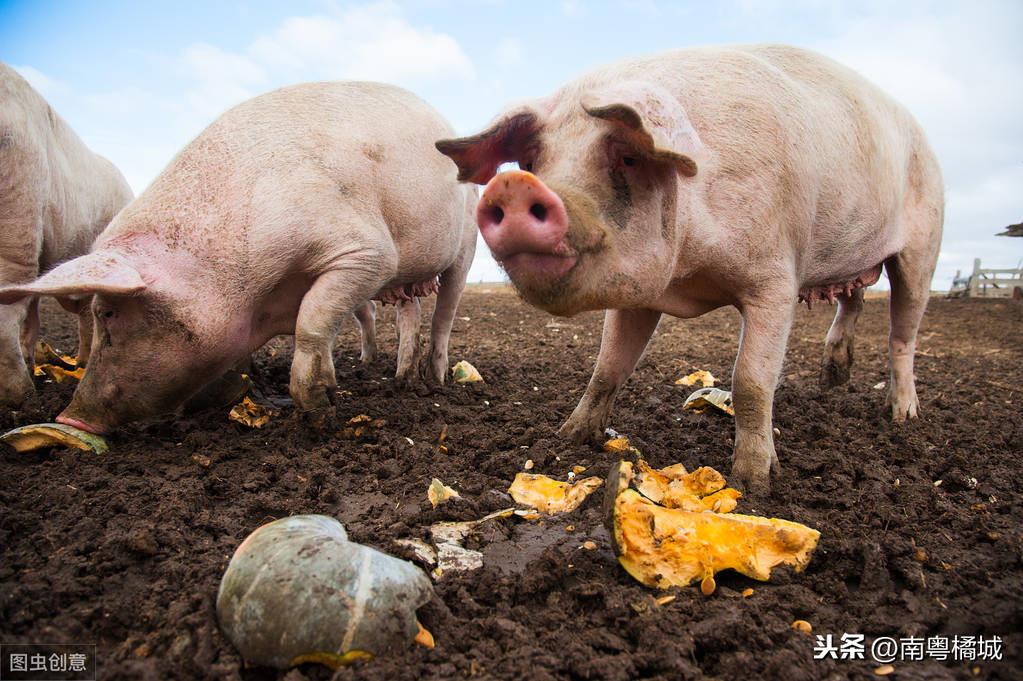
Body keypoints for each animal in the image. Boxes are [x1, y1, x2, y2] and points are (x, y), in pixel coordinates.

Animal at [435, 44, 937, 490]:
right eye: (531, 160)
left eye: (629, 156)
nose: (514, 186)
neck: (690, 275)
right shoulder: (639, 294)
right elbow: (607, 367)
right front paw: (568, 437)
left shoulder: (776, 278)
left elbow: (751, 380)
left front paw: (754, 482)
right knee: (853, 299)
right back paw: (831, 382)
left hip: (924, 247)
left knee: (902, 334)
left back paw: (903, 416)